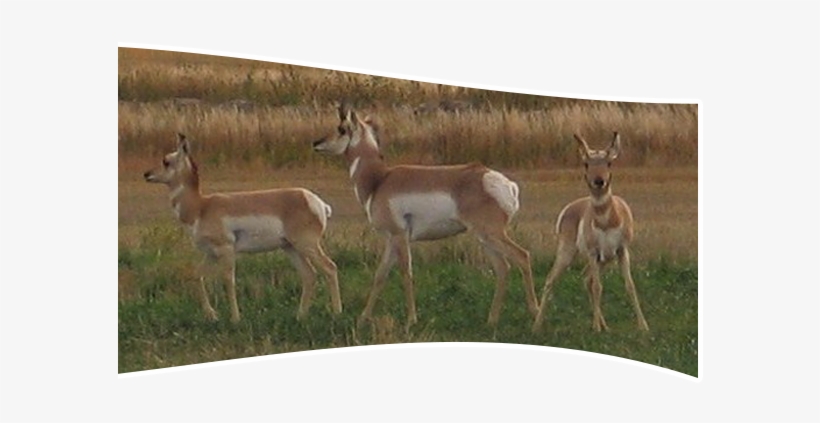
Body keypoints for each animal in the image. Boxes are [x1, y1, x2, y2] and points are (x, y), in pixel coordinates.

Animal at [143, 133, 342, 323]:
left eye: (166, 161)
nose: (146, 174)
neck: (201, 206)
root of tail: (316, 202)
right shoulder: (211, 253)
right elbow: (196, 275)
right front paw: (212, 315)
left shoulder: (226, 250)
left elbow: (228, 280)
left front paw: (235, 319)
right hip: (291, 248)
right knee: (309, 275)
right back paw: (300, 316)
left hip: (306, 244)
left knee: (330, 268)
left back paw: (336, 313)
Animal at [312, 104, 539, 327]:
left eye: (342, 128)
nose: (316, 142)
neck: (379, 180)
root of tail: (507, 185)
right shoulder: (390, 239)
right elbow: (380, 275)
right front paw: (362, 318)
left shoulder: (400, 236)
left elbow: (406, 273)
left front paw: (411, 319)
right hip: (484, 239)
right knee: (503, 268)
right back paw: (491, 321)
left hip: (491, 234)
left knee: (522, 256)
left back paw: (534, 315)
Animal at [533, 132, 649, 332]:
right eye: (586, 163)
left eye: (609, 163)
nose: (599, 181)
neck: (606, 221)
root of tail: (569, 208)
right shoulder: (593, 252)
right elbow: (597, 287)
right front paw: (595, 328)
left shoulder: (621, 250)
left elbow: (629, 286)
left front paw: (643, 326)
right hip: (569, 252)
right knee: (551, 280)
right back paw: (536, 326)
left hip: (603, 259)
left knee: (586, 279)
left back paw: (605, 325)